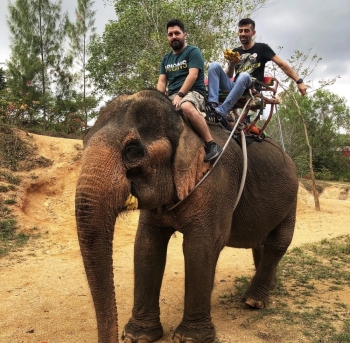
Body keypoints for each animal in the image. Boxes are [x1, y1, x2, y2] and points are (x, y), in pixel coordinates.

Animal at [74, 89, 298, 343]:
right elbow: (146, 244)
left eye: (132, 151)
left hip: (292, 199)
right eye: (84, 141)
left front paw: (190, 338)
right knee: (261, 242)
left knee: (278, 242)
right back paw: (268, 288)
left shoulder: (217, 181)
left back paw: (253, 301)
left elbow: (201, 246)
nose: (117, 337)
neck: (183, 123)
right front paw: (137, 336)